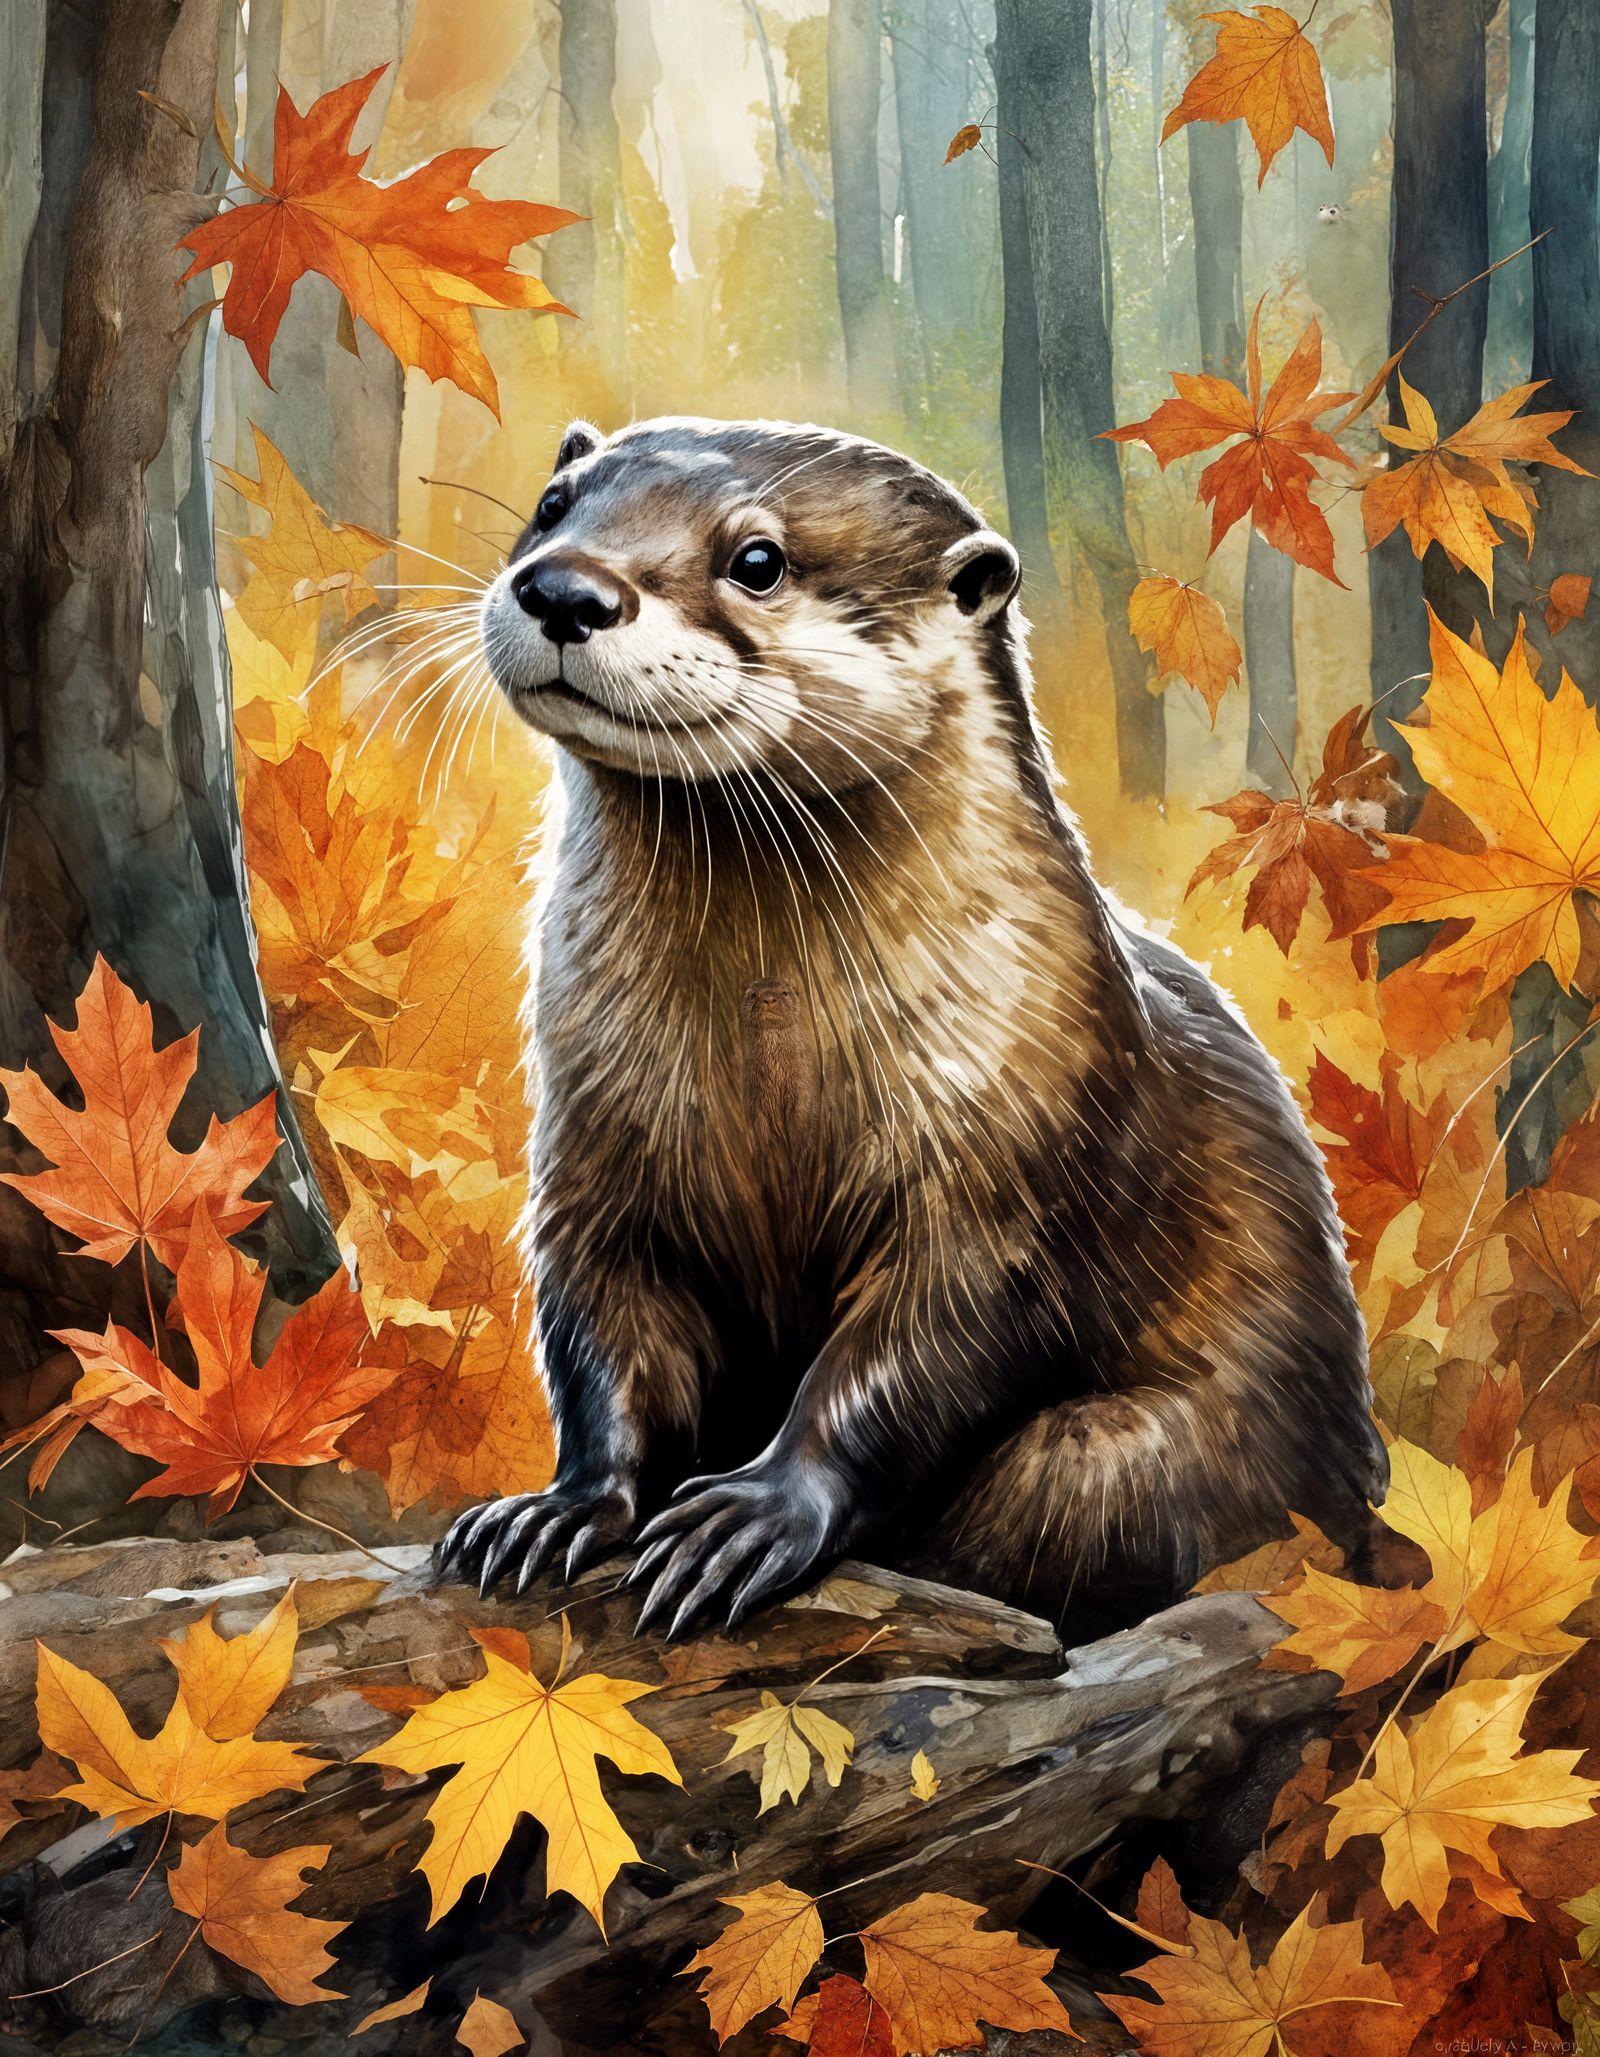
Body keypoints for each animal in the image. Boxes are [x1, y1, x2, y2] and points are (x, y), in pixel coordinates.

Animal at [436, 416, 1387, 1640]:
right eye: (554, 506)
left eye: (758, 560)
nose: (562, 587)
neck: (771, 1042)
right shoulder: (599, 1137)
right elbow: (605, 1317)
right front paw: (564, 1505)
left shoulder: (1017, 1133)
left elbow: (931, 1338)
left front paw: (752, 1512)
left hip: (1128, 1458)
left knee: (1078, 1490)